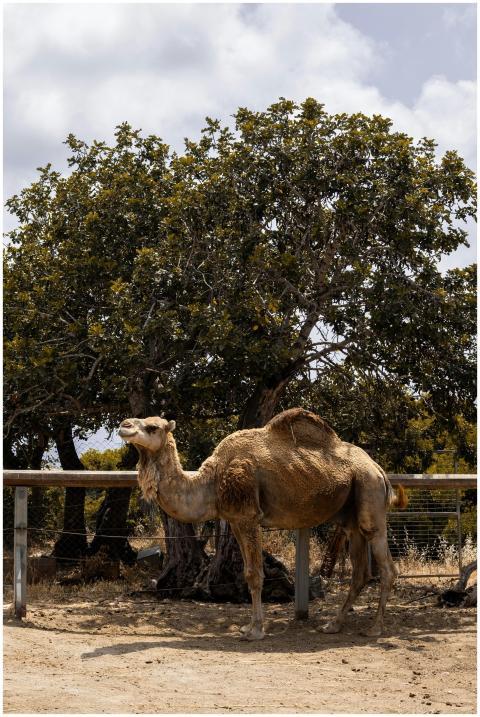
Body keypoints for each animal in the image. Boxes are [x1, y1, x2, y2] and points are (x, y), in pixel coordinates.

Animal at [118, 408, 407, 640]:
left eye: (153, 427)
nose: (124, 425)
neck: (212, 480)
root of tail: (379, 470)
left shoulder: (249, 517)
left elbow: (256, 575)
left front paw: (255, 631)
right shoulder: (235, 520)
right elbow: (247, 573)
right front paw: (248, 627)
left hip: (369, 494)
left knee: (387, 567)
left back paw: (375, 628)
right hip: (351, 516)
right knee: (361, 572)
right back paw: (332, 625)